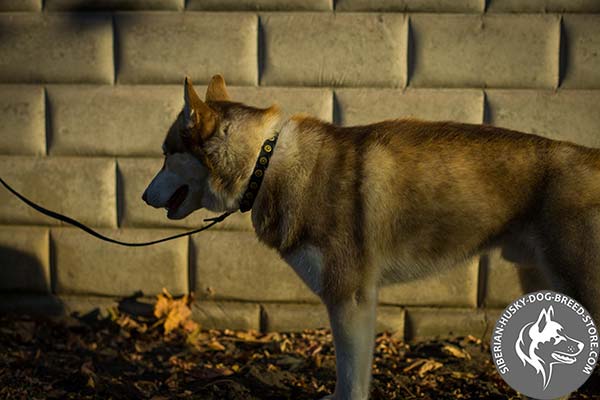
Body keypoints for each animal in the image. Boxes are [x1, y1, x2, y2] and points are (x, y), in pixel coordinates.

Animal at [144, 75, 600, 400]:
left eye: (166, 154)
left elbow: (350, 381)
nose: (144, 196)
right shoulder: (359, 302)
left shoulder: (349, 298)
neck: (266, 164)